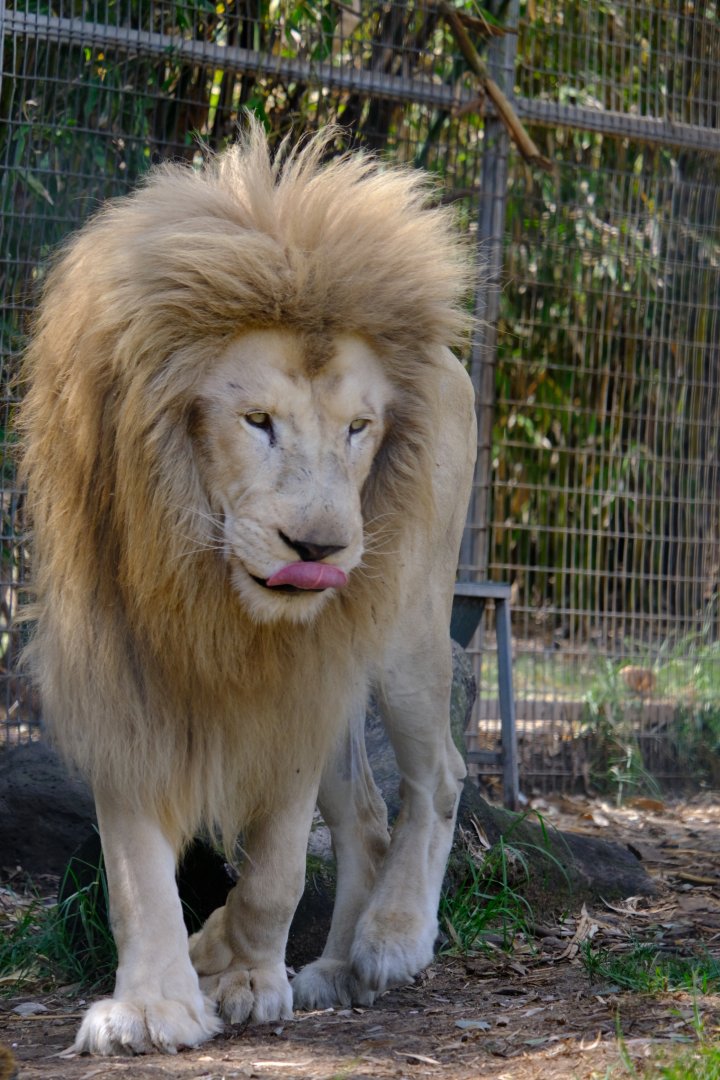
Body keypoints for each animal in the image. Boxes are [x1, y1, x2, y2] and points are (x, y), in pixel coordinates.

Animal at [18, 121, 477, 1055]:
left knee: (439, 776)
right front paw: (155, 1004)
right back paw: (331, 968)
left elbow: (276, 869)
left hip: (405, 627)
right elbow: (136, 872)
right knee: (366, 813)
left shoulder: (298, 684)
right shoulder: (121, 670)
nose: (321, 547)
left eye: (358, 428)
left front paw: (245, 974)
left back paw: (389, 939)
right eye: (257, 421)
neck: (213, 589)